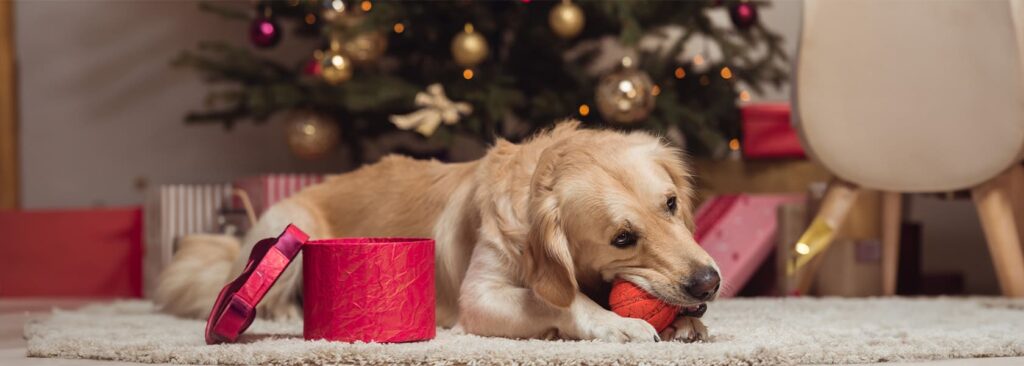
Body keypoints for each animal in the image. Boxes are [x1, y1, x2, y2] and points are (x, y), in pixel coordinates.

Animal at [159, 120, 720, 340]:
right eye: (622, 238)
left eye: (671, 204)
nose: (710, 283)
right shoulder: (481, 294)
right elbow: (557, 301)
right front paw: (615, 322)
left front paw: (683, 322)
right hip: (286, 223)